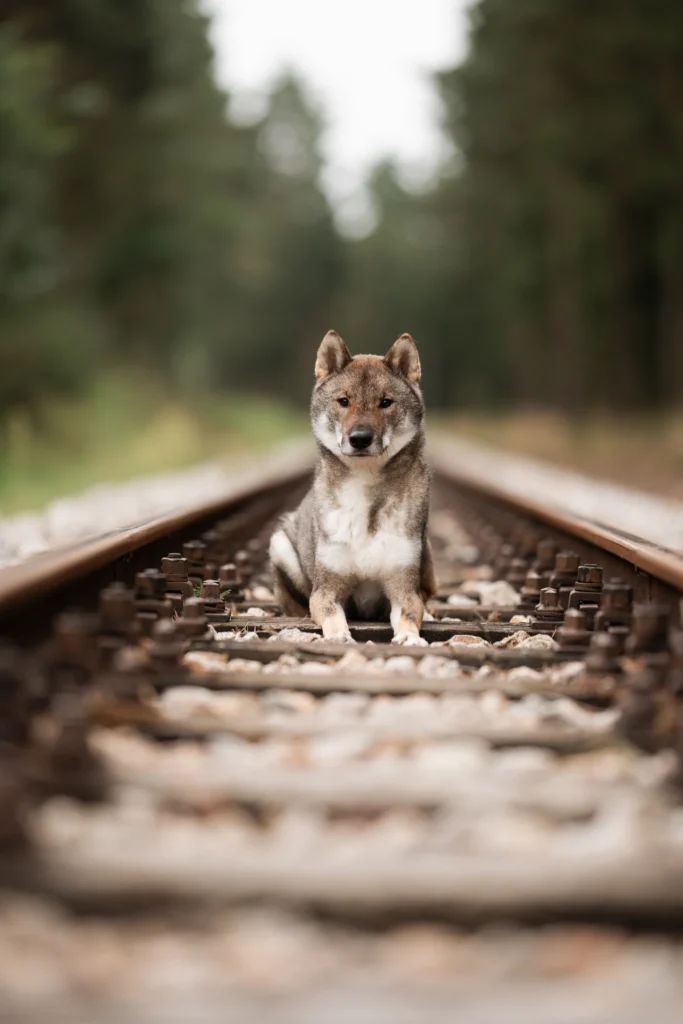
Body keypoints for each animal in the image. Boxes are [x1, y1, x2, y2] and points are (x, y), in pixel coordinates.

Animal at [270, 331, 436, 643]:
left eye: (386, 402)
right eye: (344, 401)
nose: (360, 438)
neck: (366, 484)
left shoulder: (402, 587)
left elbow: (410, 613)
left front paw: (409, 637)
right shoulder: (326, 591)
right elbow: (332, 616)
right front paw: (339, 637)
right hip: (280, 546)